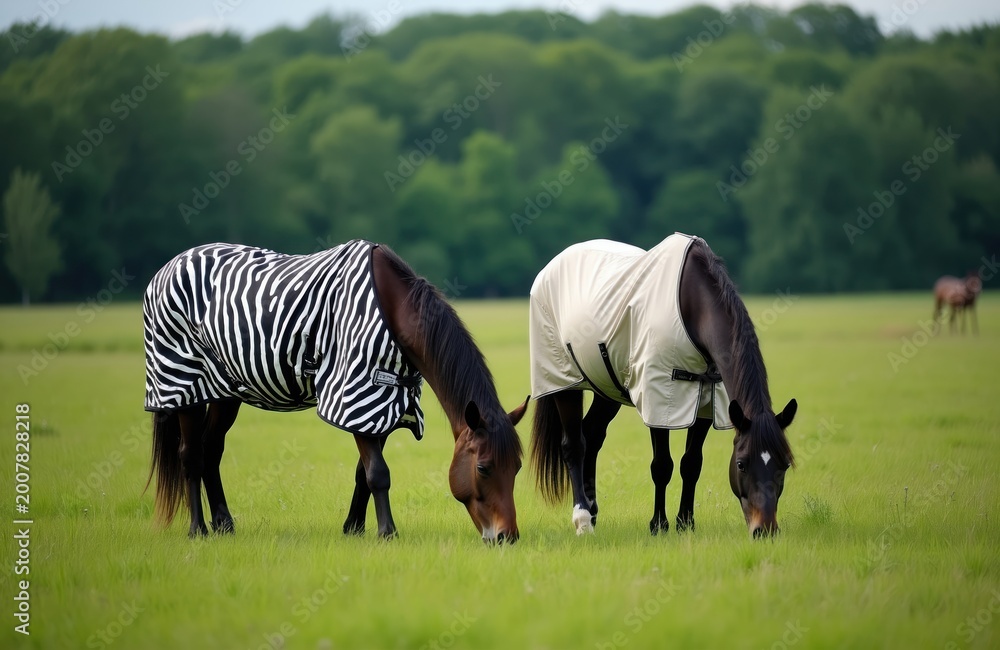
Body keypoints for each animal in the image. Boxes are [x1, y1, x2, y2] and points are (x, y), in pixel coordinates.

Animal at [143, 240, 526, 543]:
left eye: (518, 467)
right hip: (184, 387)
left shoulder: (383, 403)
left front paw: (354, 529)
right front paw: (387, 533)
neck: (392, 310)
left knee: (211, 450)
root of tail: (165, 270)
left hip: (225, 392)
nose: (507, 537)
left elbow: (364, 473)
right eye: (484, 468)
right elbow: (378, 473)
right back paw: (198, 530)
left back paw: (224, 524)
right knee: (191, 455)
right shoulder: (356, 395)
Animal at [529, 234, 796, 538]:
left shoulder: (706, 403)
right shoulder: (659, 398)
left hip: (607, 390)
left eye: (785, 463)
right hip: (563, 382)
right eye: (741, 463)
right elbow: (662, 466)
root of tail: (551, 265)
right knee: (574, 444)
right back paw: (583, 519)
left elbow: (691, 463)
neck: (691, 304)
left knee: (592, 436)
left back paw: (593, 510)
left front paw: (686, 522)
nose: (765, 529)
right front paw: (659, 524)